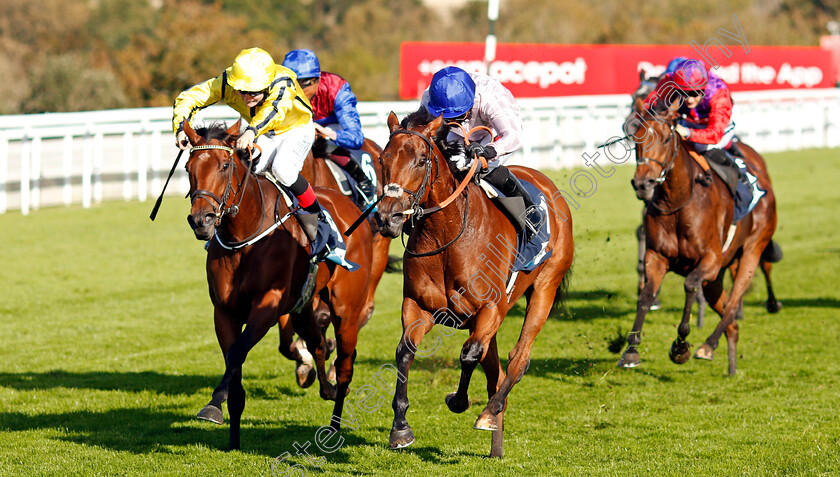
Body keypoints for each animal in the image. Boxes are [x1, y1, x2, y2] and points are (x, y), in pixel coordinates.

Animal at [182, 121, 372, 448]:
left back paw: (335, 424)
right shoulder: (224, 312)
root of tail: (348, 204)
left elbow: (237, 352)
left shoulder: (267, 306)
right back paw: (325, 387)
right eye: (188, 167)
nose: (201, 220)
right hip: (303, 304)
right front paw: (231, 435)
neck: (244, 236)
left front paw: (213, 402)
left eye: (224, 165)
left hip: (346, 309)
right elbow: (234, 361)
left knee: (346, 364)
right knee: (318, 343)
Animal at [378, 111, 576, 458]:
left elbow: (469, 354)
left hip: (545, 288)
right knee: (495, 369)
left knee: (518, 359)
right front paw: (400, 428)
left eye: (420, 160)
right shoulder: (418, 306)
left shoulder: (491, 308)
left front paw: (460, 401)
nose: (389, 219)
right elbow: (405, 351)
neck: (446, 235)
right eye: (382, 158)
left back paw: (490, 412)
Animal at [620, 98, 776, 376]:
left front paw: (680, 346)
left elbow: (690, 285)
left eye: (664, 139)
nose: (643, 184)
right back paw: (731, 365)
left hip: (752, 249)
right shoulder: (657, 256)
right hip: (716, 278)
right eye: (636, 139)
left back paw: (709, 344)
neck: (678, 203)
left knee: (734, 304)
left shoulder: (710, 260)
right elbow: (646, 296)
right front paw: (631, 350)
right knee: (731, 320)